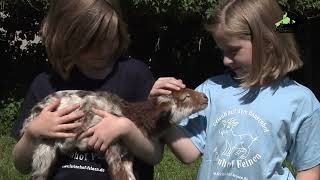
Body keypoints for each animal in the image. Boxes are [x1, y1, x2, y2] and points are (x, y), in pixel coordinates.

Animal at [21, 88, 208, 179]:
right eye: (185, 98)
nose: (206, 97)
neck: (134, 115)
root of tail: (30, 117)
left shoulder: (127, 154)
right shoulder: (114, 147)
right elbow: (120, 176)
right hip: (45, 144)